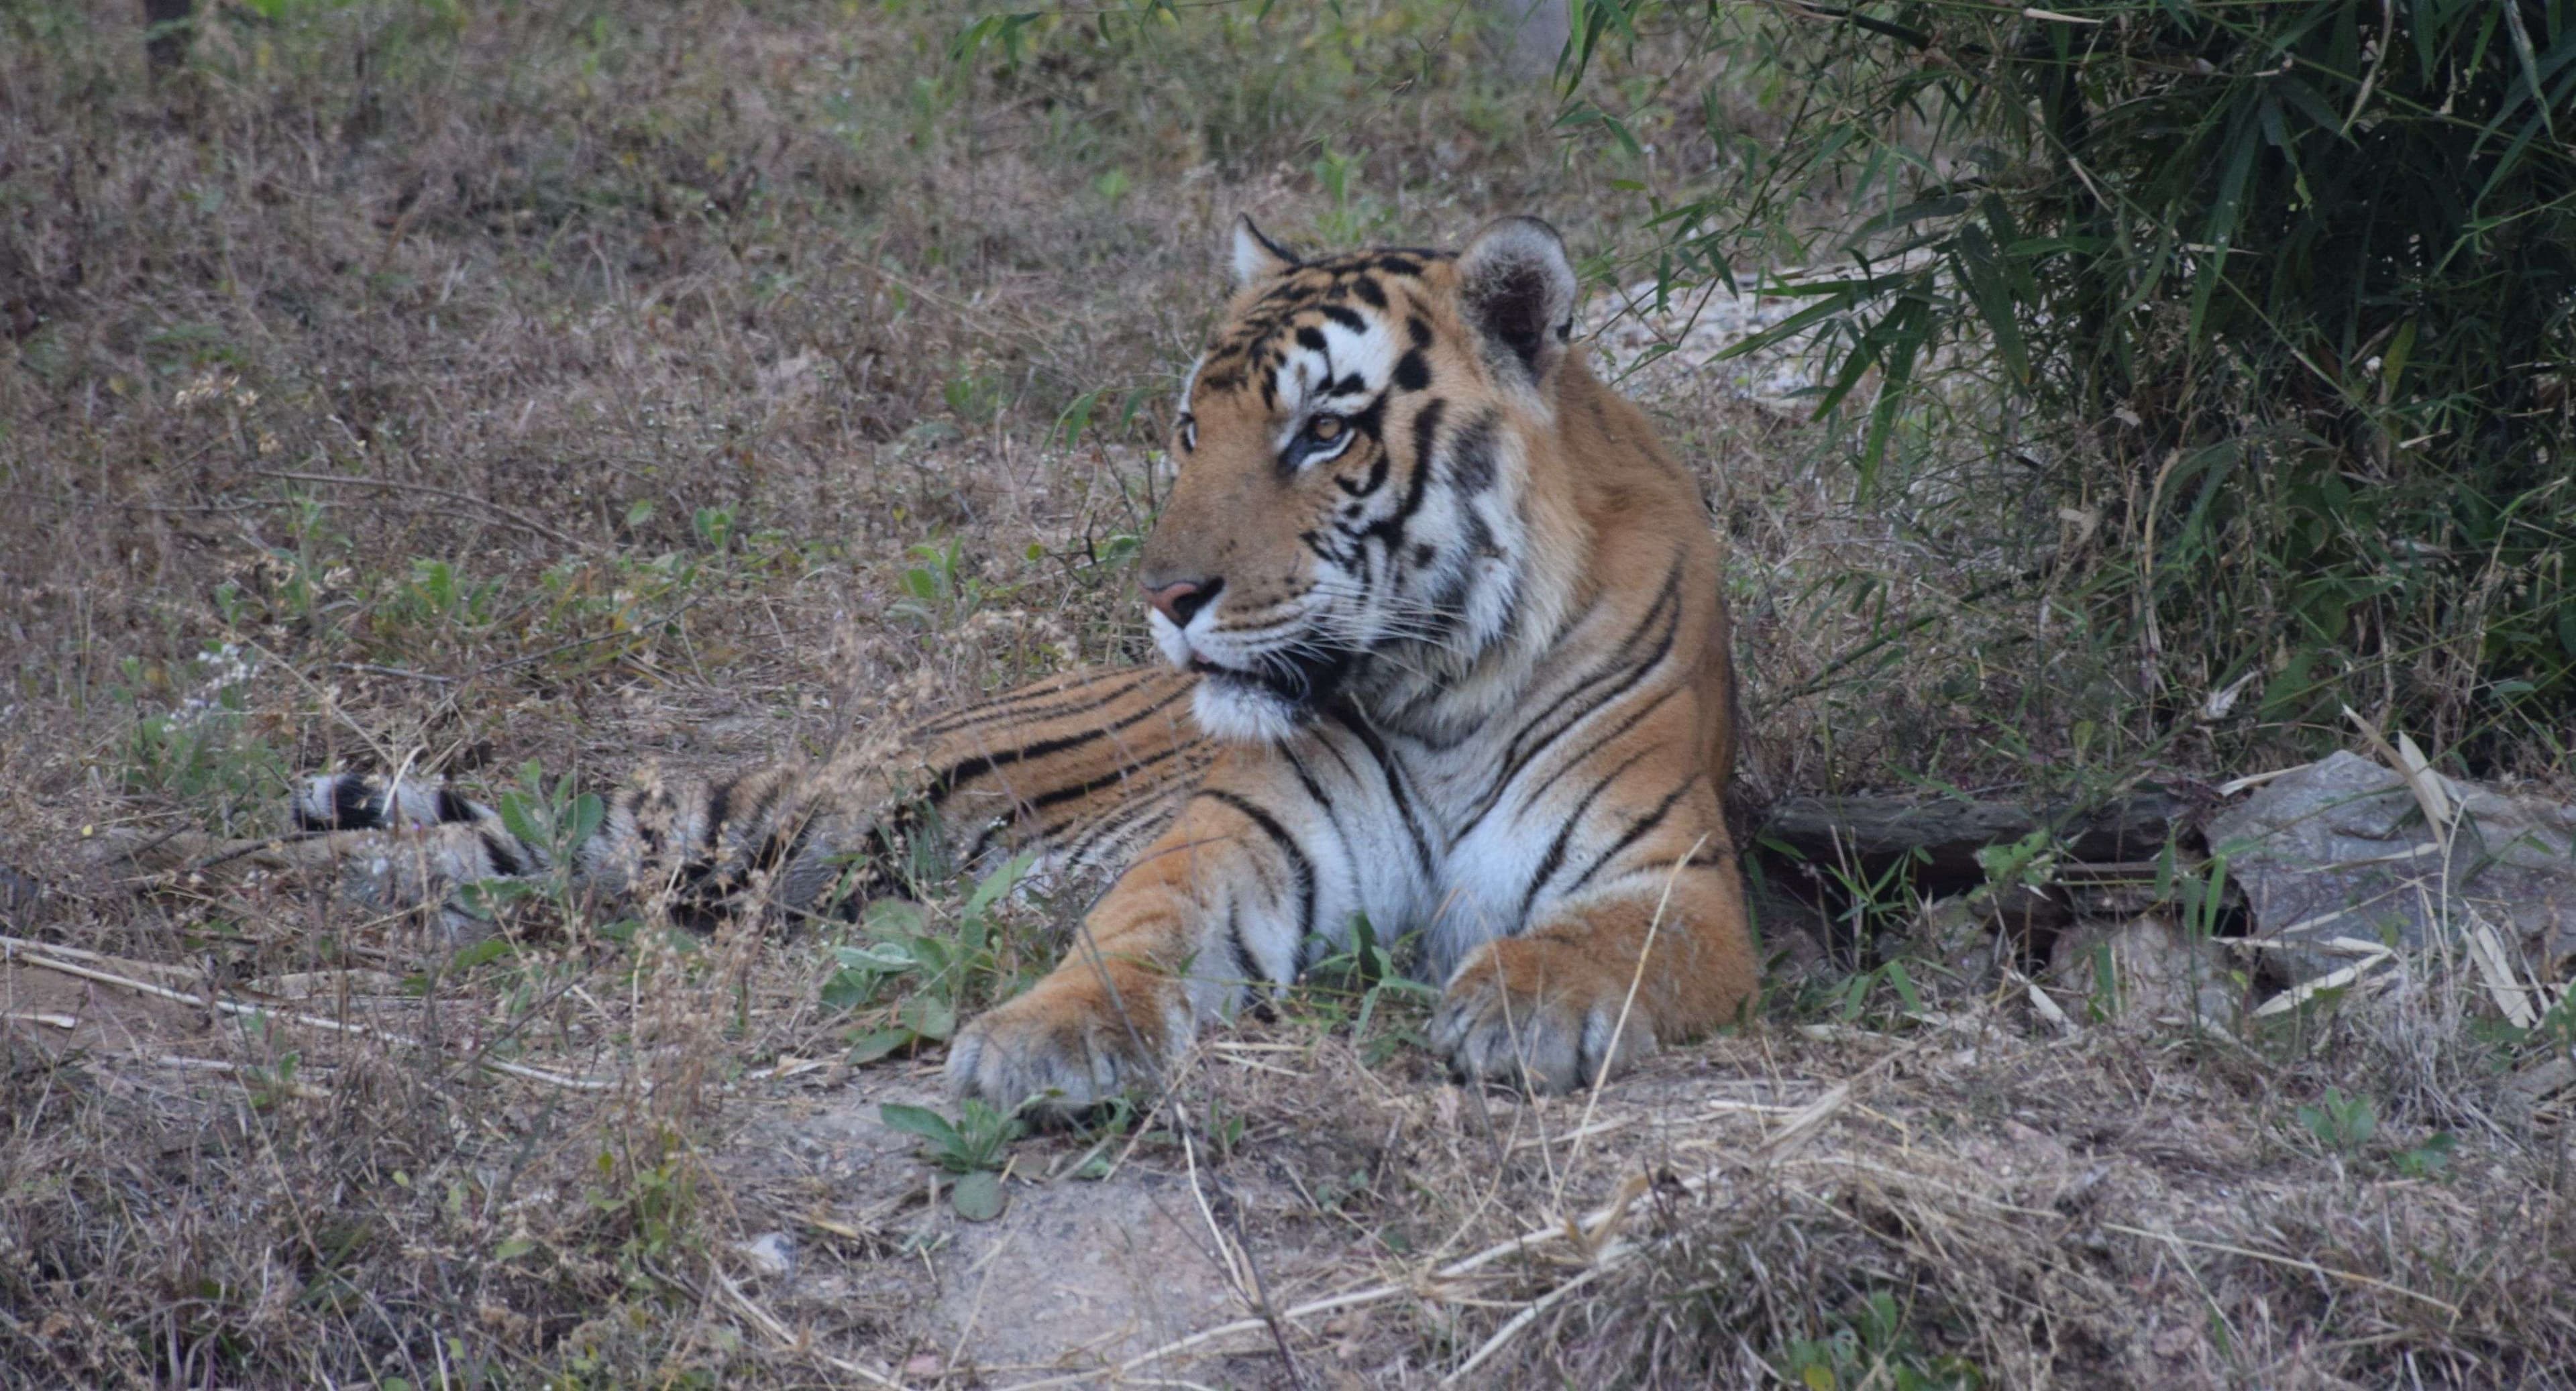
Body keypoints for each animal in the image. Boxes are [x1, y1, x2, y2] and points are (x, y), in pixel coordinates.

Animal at [100, 215, 1762, 1107]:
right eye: (1191, 427)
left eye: (1323, 431)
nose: (1164, 596)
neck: (1435, 686)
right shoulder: (1243, 837)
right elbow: (1132, 928)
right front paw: (1039, 1038)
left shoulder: (1679, 878)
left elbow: (1609, 946)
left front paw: (1518, 1006)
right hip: (780, 817)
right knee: (532, 834)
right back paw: (244, 879)